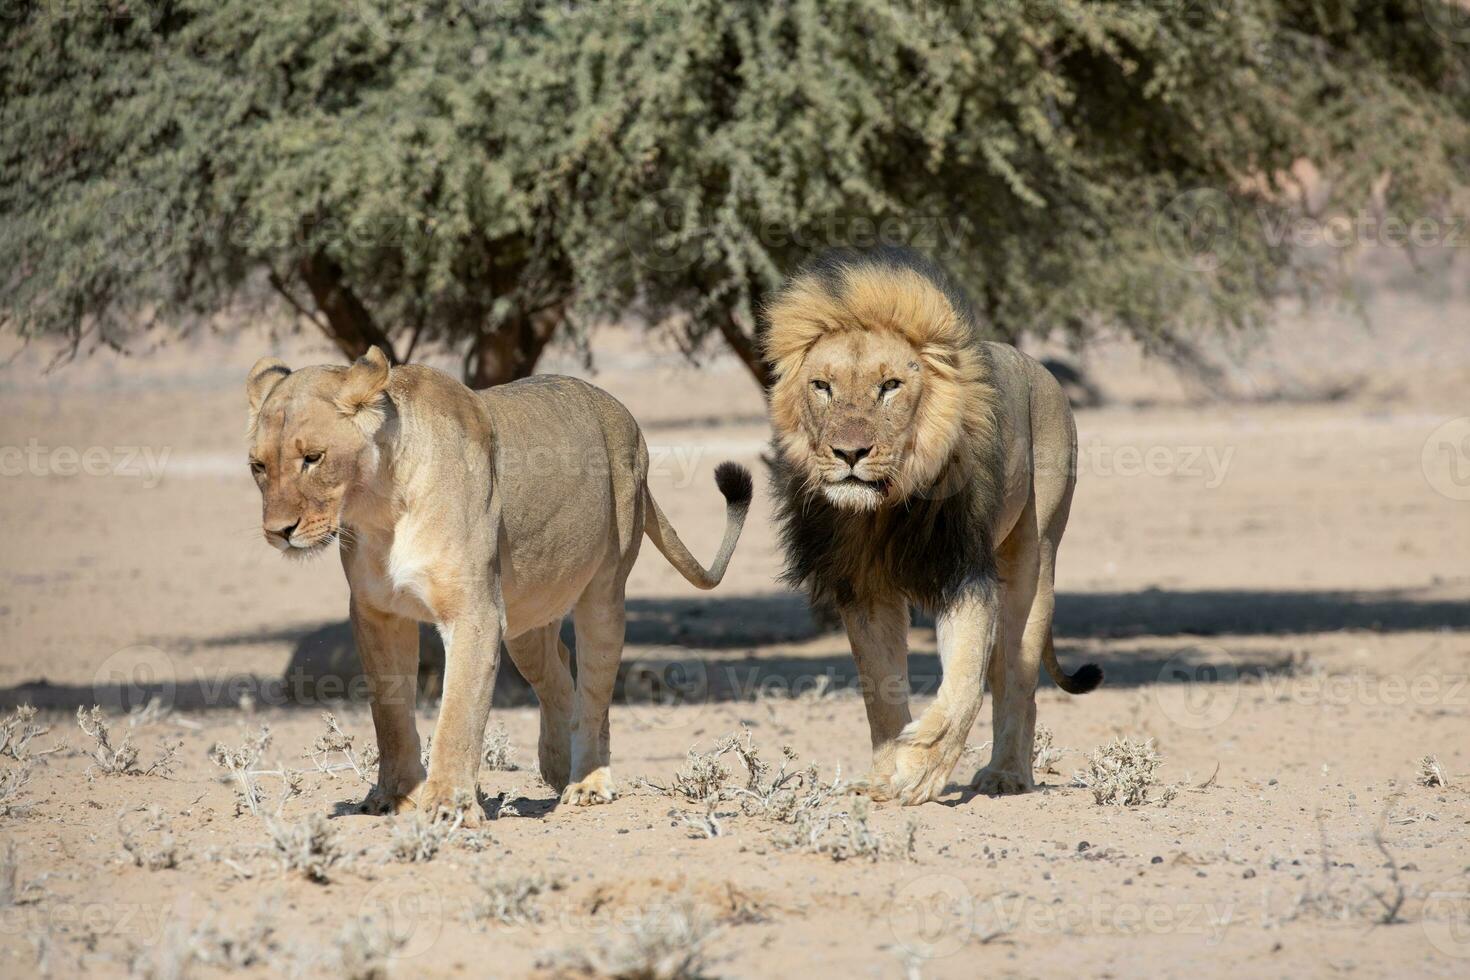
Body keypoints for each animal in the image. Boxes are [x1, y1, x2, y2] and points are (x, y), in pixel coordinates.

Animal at [245, 348, 752, 822]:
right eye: (258, 466)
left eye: (313, 458)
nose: (277, 531)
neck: (379, 507)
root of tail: (623, 415)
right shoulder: (377, 614)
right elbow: (389, 713)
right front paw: (393, 796)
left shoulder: (475, 613)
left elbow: (457, 715)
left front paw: (447, 804)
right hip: (526, 618)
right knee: (557, 673)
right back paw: (557, 765)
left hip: (604, 591)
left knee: (594, 689)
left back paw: (587, 781)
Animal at [764, 249, 1099, 811]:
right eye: (822, 386)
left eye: (890, 386)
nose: (849, 453)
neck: (883, 509)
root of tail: (1038, 367)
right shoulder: (864, 589)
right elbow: (880, 691)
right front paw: (882, 777)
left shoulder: (965, 573)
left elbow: (963, 680)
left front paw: (921, 771)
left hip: (1034, 556)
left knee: (1017, 679)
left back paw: (1007, 774)